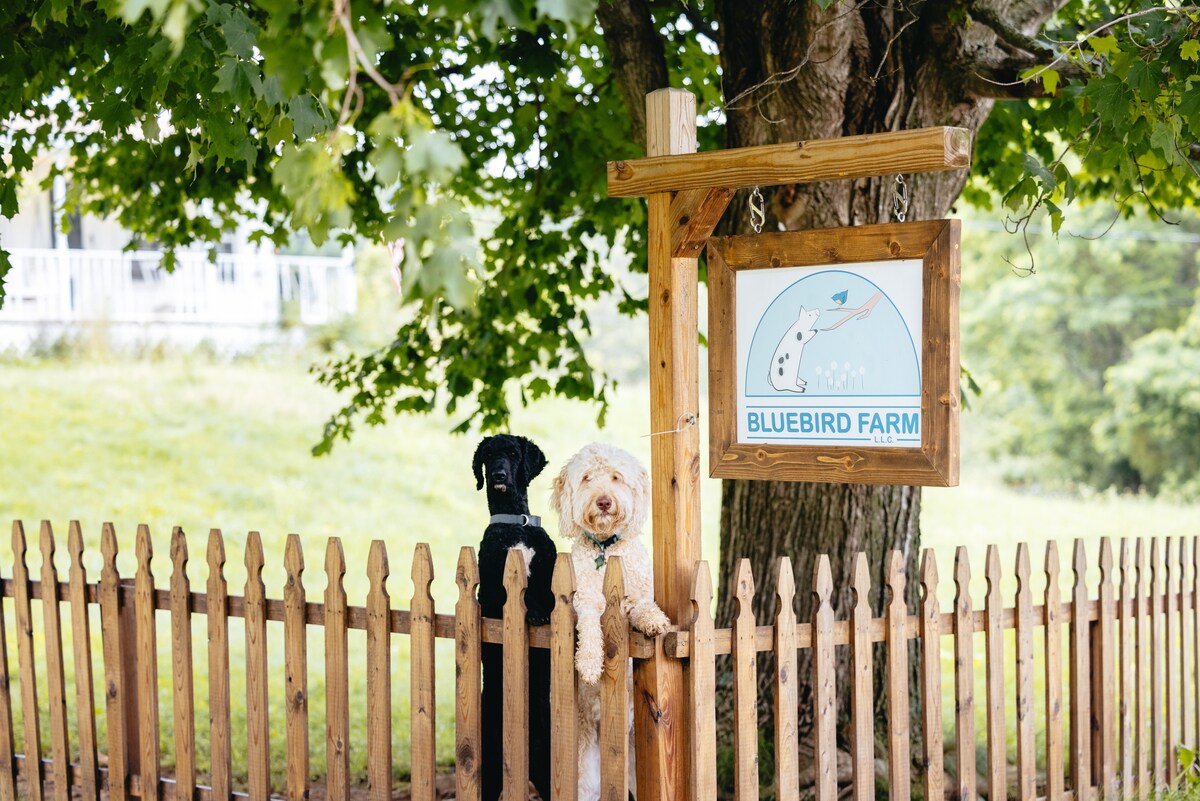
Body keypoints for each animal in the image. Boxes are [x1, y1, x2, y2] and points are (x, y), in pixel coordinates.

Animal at [549, 441, 672, 801]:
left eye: (617, 477)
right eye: (587, 478)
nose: (604, 501)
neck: (606, 550)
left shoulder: (639, 594)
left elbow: (644, 606)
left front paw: (654, 621)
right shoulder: (584, 600)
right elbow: (590, 628)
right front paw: (590, 663)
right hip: (585, 773)